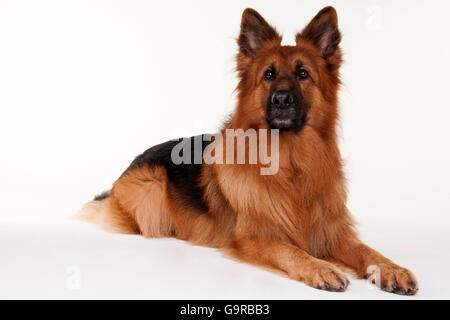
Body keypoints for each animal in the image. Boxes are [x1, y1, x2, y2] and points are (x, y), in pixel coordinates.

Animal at [80, 5, 418, 296]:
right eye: (268, 75)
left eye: (303, 74)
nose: (281, 99)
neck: (290, 162)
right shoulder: (254, 238)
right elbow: (290, 250)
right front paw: (319, 267)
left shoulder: (331, 232)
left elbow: (367, 251)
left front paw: (392, 269)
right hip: (152, 190)